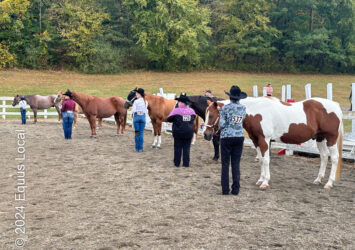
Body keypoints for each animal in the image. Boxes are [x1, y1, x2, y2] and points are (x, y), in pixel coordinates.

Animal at [204, 96, 344, 188]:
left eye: (211, 115)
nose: (206, 134)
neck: (256, 110)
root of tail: (336, 106)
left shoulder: (264, 140)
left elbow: (266, 160)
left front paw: (265, 182)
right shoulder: (256, 141)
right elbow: (261, 160)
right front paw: (260, 180)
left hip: (331, 138)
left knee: (334, 158)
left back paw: (329, 183)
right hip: (320, 138)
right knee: (324, 156)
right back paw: (318, 180)